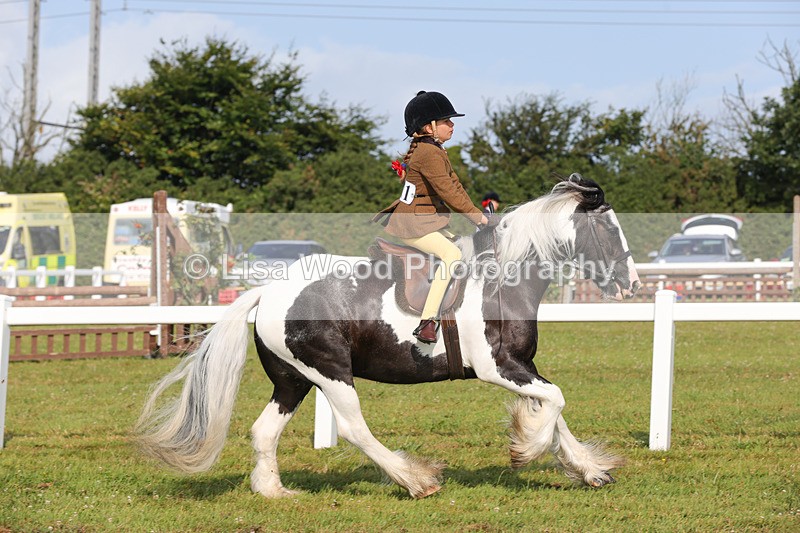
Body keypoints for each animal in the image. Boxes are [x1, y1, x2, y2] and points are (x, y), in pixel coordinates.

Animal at [135, 174, 640, 499]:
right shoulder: (499, 367)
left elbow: (555, 409)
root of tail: (267, 291)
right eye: (607, 227)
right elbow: (554, 401)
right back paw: (415, 480)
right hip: (331, 372)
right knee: (353, 428)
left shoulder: (523, 365)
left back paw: (273, 491)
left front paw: (589, 470)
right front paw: (525, 447)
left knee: (264, 431)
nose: (632, 284)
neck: (503, 279)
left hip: (292, 380)